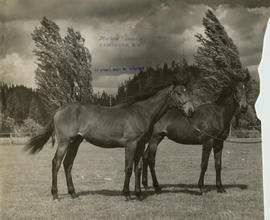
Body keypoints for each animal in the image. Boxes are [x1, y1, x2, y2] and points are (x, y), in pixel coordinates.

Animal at [24, 81, 194, 200]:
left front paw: (139, 194)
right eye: (179, 93)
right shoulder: (131, 145)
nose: (191, 111)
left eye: (188, 92)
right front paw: (127, 194)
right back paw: (55, 194)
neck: (142, 113)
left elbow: (138, 168)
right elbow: (128, 168)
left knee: (68, 164)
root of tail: (59, 109)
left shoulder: (140, 145)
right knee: (56, 163)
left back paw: (73, 193)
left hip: (75, 142)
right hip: (65, 142)